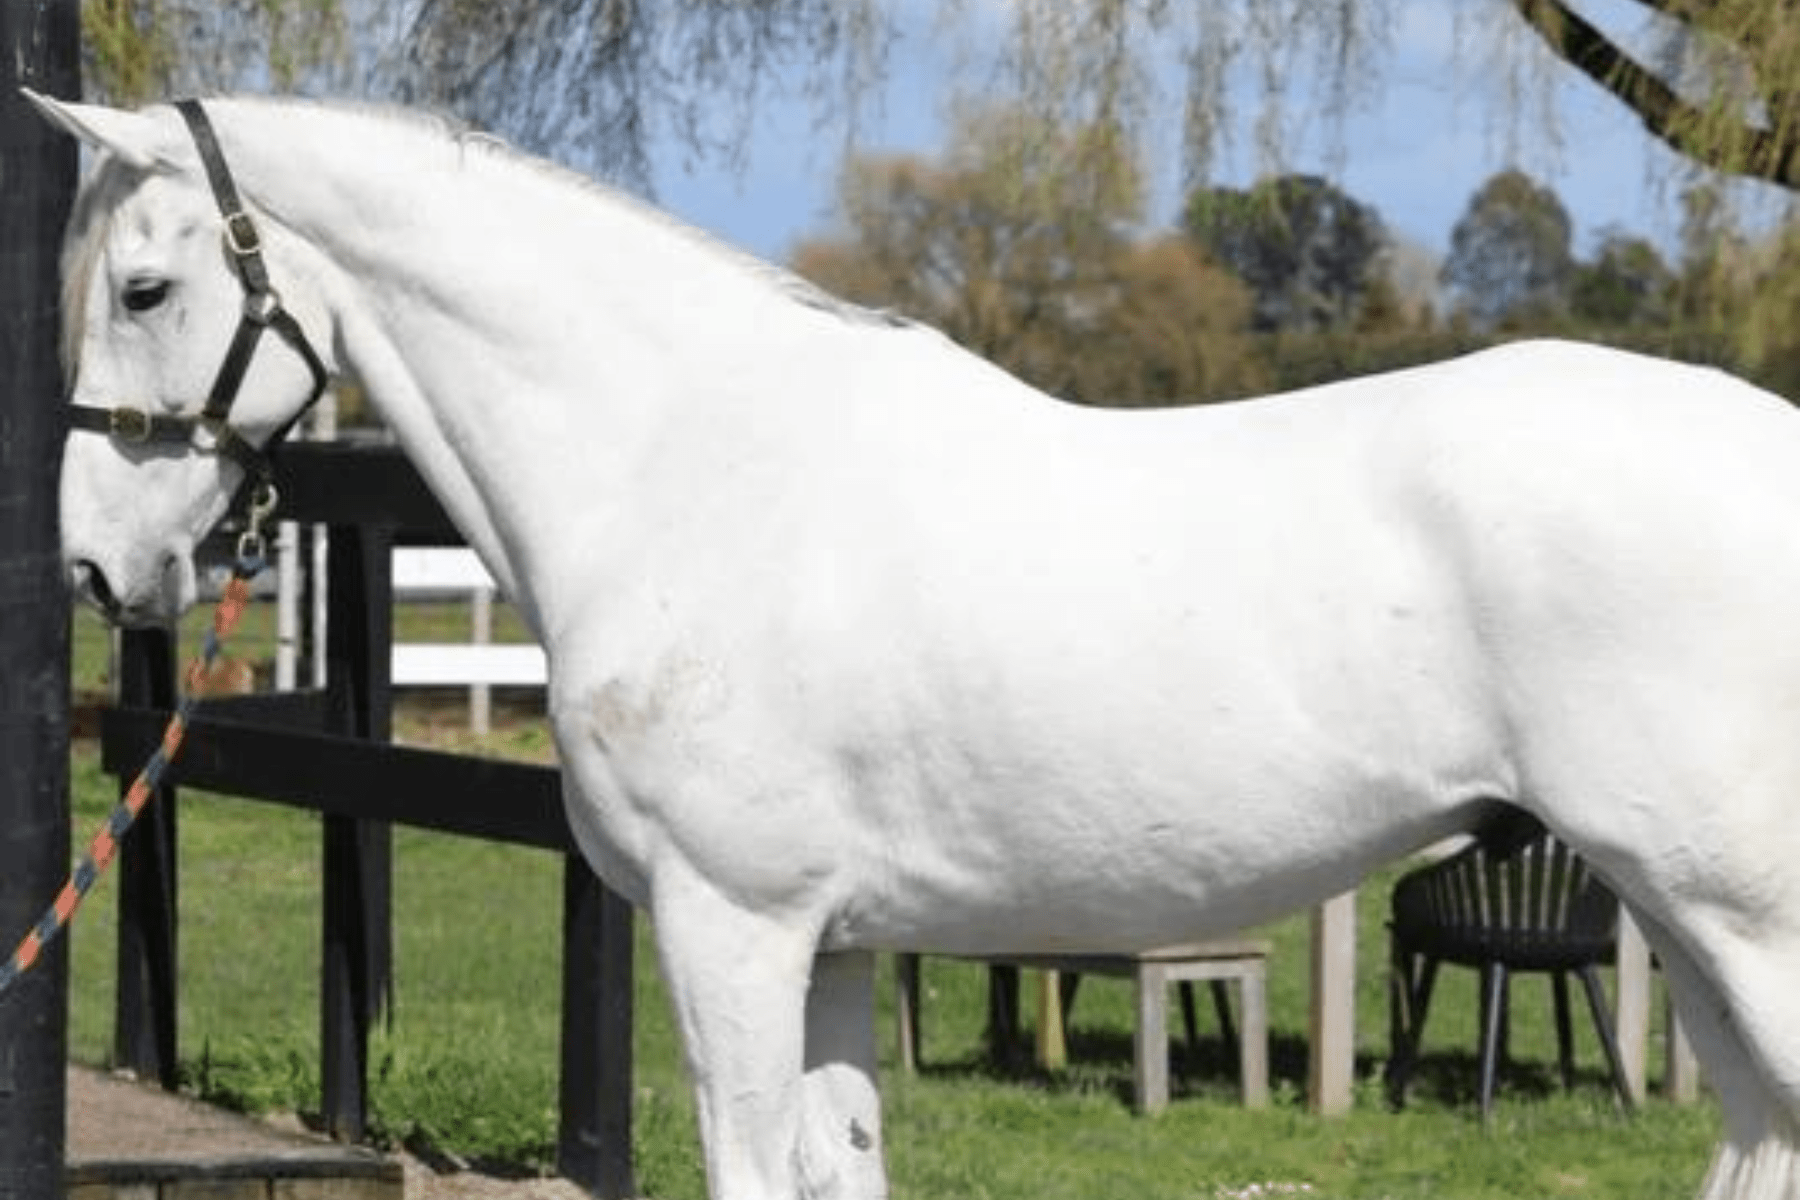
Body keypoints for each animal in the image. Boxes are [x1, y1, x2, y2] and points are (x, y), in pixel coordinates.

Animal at [26, 90, 1800, 1200]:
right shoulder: (835, 946)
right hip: (1687, 925)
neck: (693, 464)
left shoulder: (728, 926)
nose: (99, 563)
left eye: (146, 285)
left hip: (1747, 924)